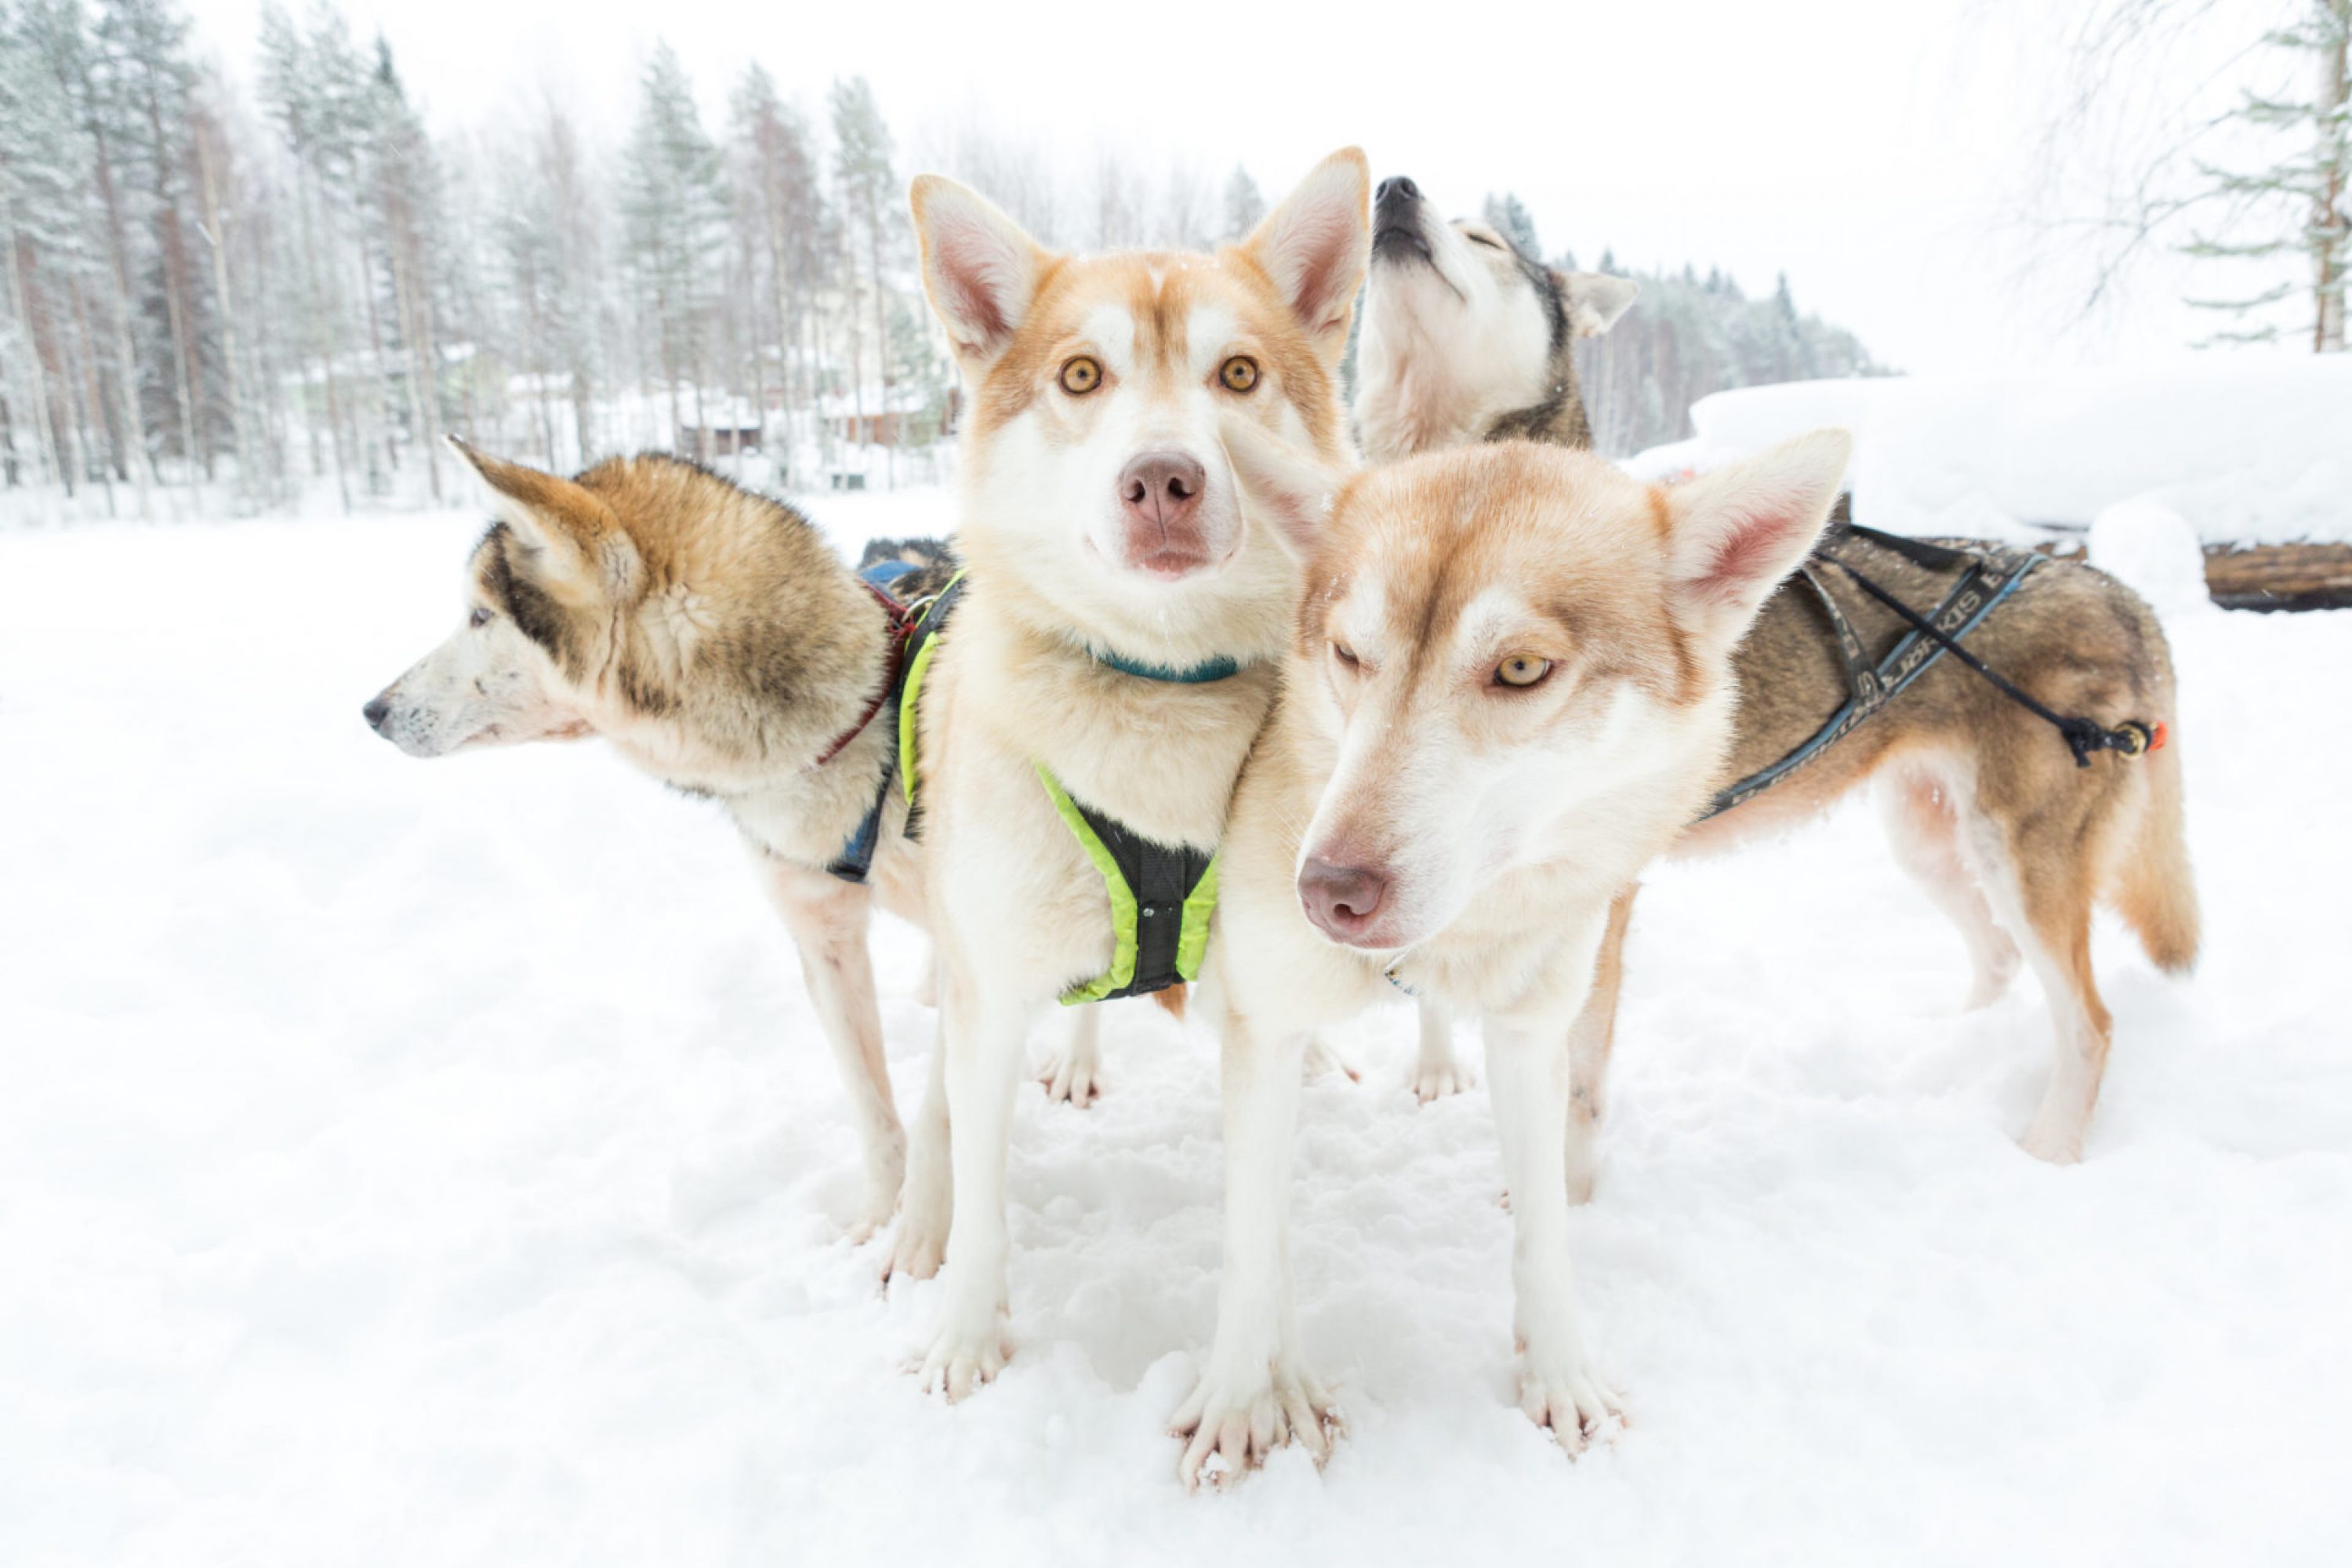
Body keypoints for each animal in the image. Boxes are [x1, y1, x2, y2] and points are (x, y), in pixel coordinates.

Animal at [360, 441, 946, 1241]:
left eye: (480, 615)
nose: (372, 710)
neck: (857, 716)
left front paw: (922, 1246)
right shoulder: (823, 944)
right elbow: (875, 1113)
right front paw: (877, 1227)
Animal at [894, 150, 1374, 1401]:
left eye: (1238, 372)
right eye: (1081, 374)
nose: (1164, 478)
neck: (1156, 687)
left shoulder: (1252, 992)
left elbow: (1262, 1211)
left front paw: (1275, 1385)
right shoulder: (992, 987)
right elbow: (984, 1192)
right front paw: (963, 1341)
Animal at [1176, 425, 1853, 1486]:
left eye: (1524, 667)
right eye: (1350, 655)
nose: (1327, 888)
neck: (1454, 938)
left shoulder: (1534, 1037)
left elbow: (1544, 1226)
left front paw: (1560, 1376)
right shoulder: (1265, 1023)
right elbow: (1253, 1242)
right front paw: (1244, 1399)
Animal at [1355, 177, 2192, 1171]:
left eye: (1484, 237)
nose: (1393, 186)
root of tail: (2112, 585)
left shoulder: (1594, 894)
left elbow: (1574, 1086)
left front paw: (1571, 1185)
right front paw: (1437, 1071)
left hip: (2019, 854)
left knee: (2089, 1022)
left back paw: (2047, 1151)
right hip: (1932, 837)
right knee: (1996, 958)